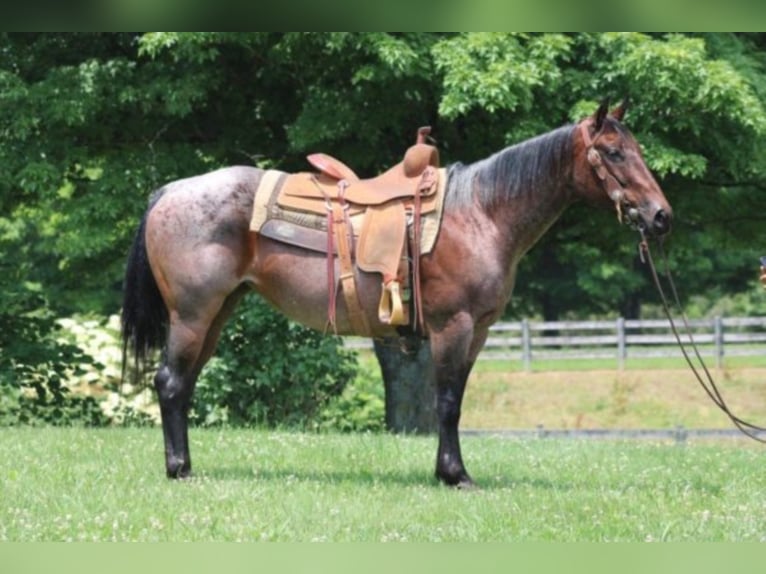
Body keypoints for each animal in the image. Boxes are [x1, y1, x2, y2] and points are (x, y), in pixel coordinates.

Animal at [120, 98, 672, 486]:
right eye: (615, 152)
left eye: (639, 150)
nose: (661, 216)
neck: (481, 214)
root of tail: (169, 192)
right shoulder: (454, 326)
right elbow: (446, 402)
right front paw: (455, 476)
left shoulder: (478, 332)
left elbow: (456, 398)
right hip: (193, 315)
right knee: (170, 382)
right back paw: (179, 470)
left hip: (216, 313)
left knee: (183, 385)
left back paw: (185, 465)